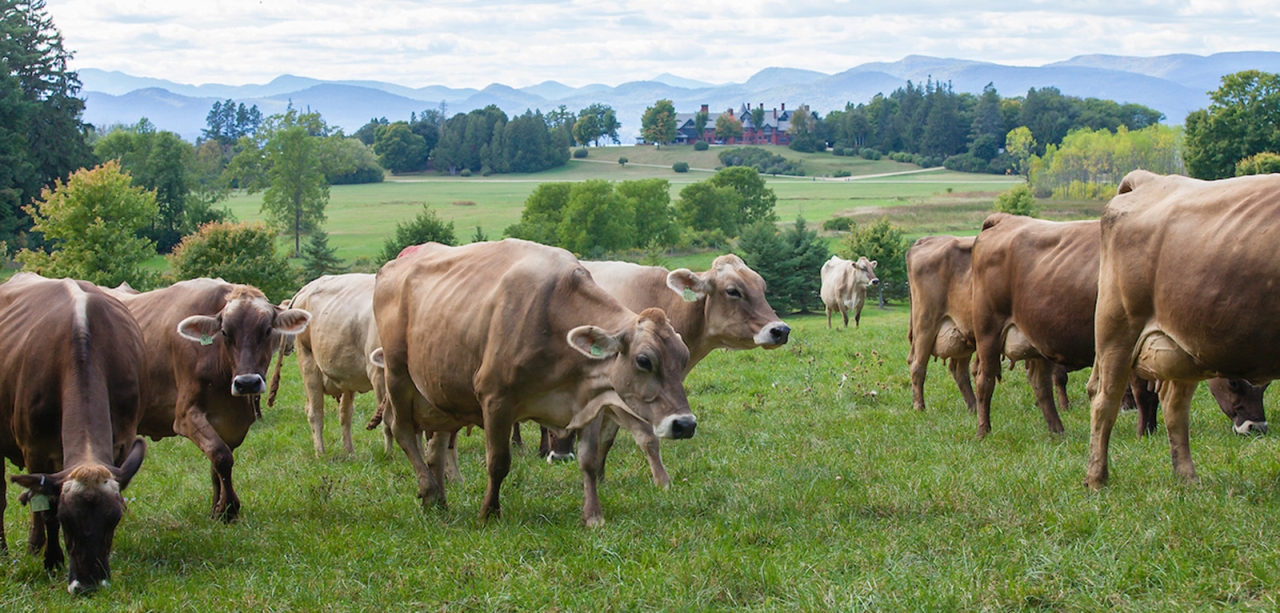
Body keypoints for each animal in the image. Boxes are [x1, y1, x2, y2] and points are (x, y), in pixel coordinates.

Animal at [0, 275, 146, 593]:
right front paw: (52, 559)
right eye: (67, 519)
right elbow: (46, 508)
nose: (88, 584)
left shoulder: (122, 441)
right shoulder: (36, 449)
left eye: (114, 519)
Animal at [116, 280, 313, 519]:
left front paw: (217, 508)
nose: (247, 383)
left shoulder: (235, 421)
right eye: (225, 332)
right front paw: (228, 507)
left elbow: (217, 464)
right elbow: (221, 456)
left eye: (267, 330)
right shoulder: (185, 415)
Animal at [373, 240, 696, 527]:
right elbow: (498, 461)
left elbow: (588, 461)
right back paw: (428, 490)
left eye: (683, 357)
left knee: (436, 448)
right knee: (402, 431)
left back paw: (440, 498)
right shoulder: (496, 399)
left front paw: (593, 516)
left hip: (441, 394)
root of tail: (391, 266)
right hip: (397, 375)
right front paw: (489, 513)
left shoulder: (589, 400)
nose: (685, 424)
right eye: (644, 360)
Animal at [1085, 171, 1280, 488]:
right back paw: (1096, 479)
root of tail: (1149, 179)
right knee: (1104, 401)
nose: (1258, 428)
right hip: (1117, 331)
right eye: (1233, 383)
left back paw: (1186, 477)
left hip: (1185, 347)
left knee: (1174, 406)